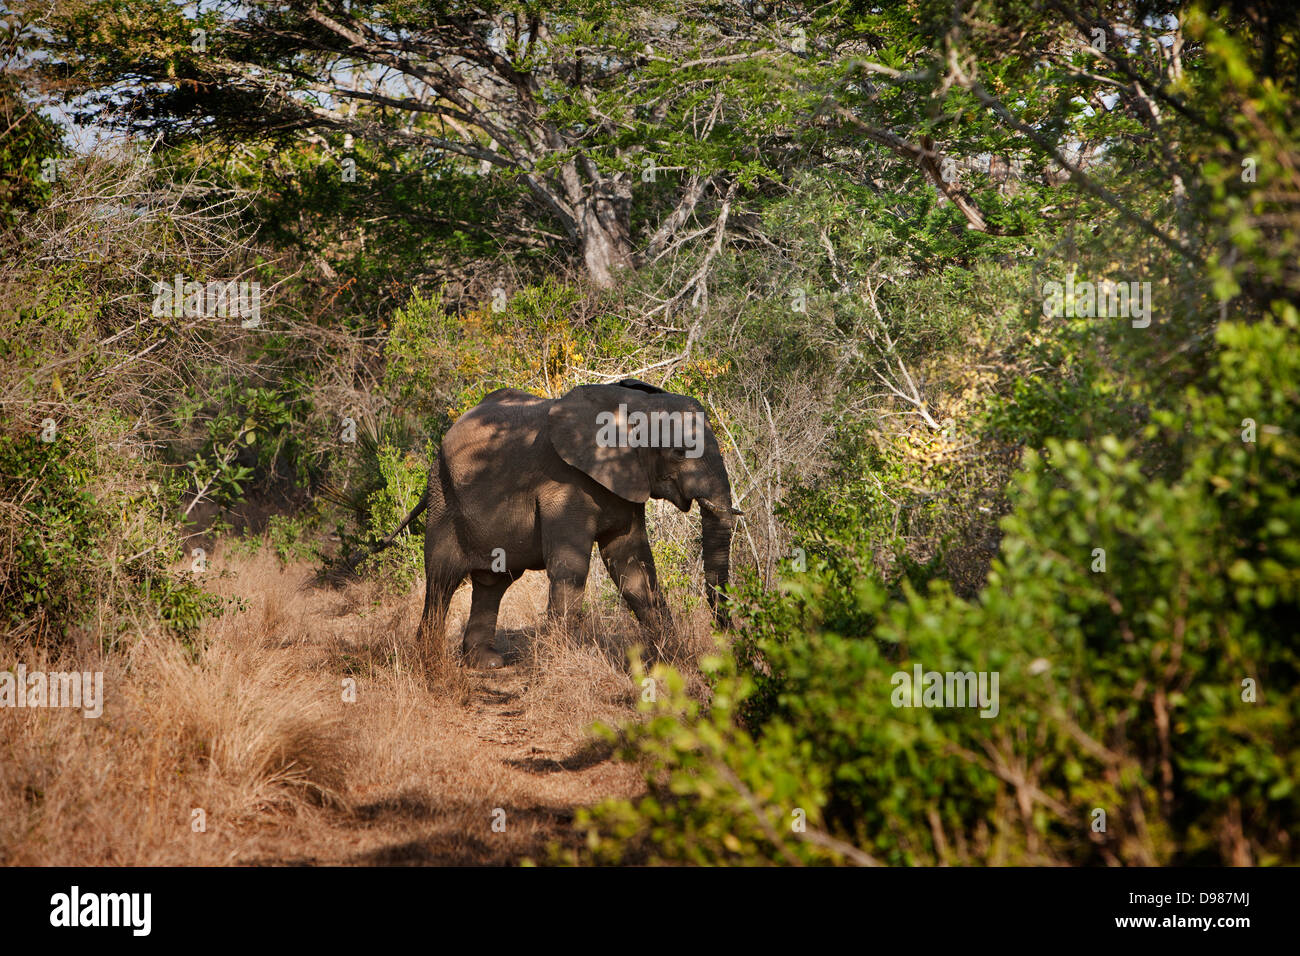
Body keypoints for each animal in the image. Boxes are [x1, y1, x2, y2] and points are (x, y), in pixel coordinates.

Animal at [361, 379, 741, 669]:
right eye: (679, 452)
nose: (725, 642)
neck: (629, 405)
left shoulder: (627, 485)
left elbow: (633, 567)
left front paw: (671, 660)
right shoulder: (563, 485)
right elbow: (570, 566)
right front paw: (564, 663)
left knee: (493, 582)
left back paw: (486, 663)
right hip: (443, 493)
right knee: (442, 579)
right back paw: (427, 661)